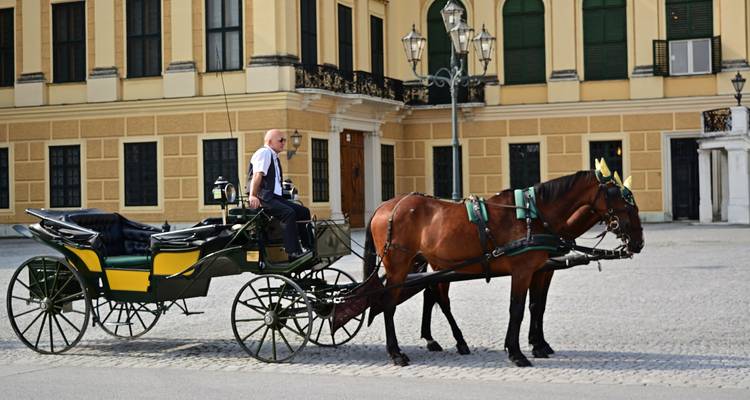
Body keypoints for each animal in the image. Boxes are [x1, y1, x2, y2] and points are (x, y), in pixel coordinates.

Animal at [362, 167, 644, 367]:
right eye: (624, 201)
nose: (639, 242)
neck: (534, 217)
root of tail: (386, 206)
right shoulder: (523, 271)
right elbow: (517, 309)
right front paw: (517, 352)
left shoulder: (540, 270)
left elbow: (536, 306)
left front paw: (538, 345)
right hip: (399, 266)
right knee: (390, 303)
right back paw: (397, 352)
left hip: (427, 263)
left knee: (434, 296)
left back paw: (447, 341)